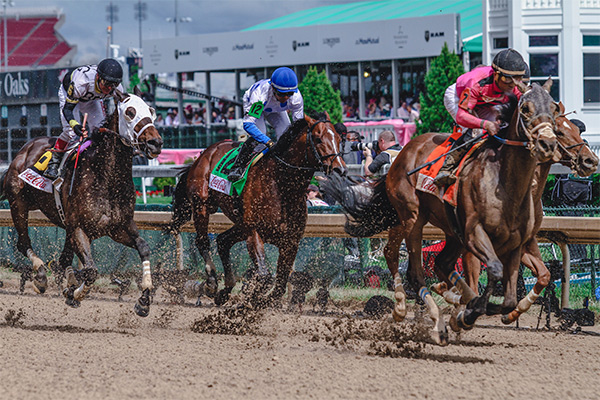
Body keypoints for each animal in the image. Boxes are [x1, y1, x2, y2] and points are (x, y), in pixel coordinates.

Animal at [0, 87, 163, 316]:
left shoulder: (118, 228)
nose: (155, 142)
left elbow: (144, 247)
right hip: (18, 205)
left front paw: (144, 299)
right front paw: (74, 293)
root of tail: (22, 152)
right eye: (130, 112)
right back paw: (41, 277)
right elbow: (91, 271)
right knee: (24, 244)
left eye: (151, 110)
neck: (106, 178)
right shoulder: (80, 228)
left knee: (63, 259)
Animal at [169, 112, 346, 306]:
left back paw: (225, 290)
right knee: (202, 242)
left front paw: (259, 299)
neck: (281, 185)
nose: (340, 169)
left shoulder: (290, 242)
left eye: (339, 138)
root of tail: (204, 154)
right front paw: (251, 298)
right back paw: (211, 283)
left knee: (223, 241)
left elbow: (280, 285)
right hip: (202, 205)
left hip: (240, 224)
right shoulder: (254, 232)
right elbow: (265, 277)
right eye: (318, 139)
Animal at [326, 80, 560, 344]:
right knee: (413, 270)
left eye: (554, 108)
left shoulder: (516, 244)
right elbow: (493, 271)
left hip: (447, 229)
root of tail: (403, 151)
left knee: (434, 262)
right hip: (413, 218)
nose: (548, 144)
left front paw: (466, 311)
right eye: (526, 109)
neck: (505, 185)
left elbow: (510, 298)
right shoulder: (474, 234)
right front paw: (467, 312)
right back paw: (424, 317)